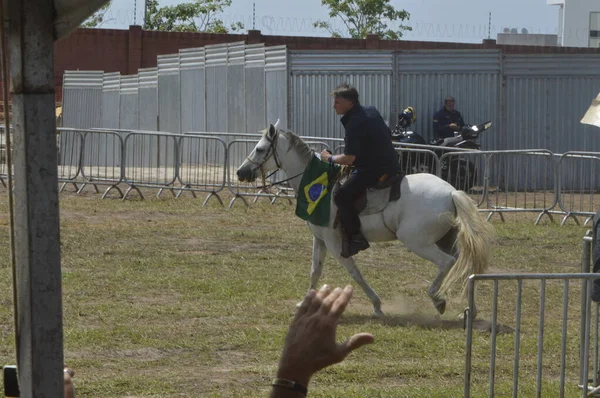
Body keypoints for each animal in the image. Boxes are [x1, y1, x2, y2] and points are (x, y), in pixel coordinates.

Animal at [237, 123, 494, 318]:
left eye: (260, 149)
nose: (240, 173)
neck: (319, 185)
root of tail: (452, 192)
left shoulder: (335, 243)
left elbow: (355, 274)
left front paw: (377, 306)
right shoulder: (319, 239)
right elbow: (315, 271)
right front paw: (304, 303)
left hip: (416, 241)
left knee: (446, 263)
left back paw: (437, 298)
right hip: (444, 239)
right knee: (463, 265)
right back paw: (470, 310)